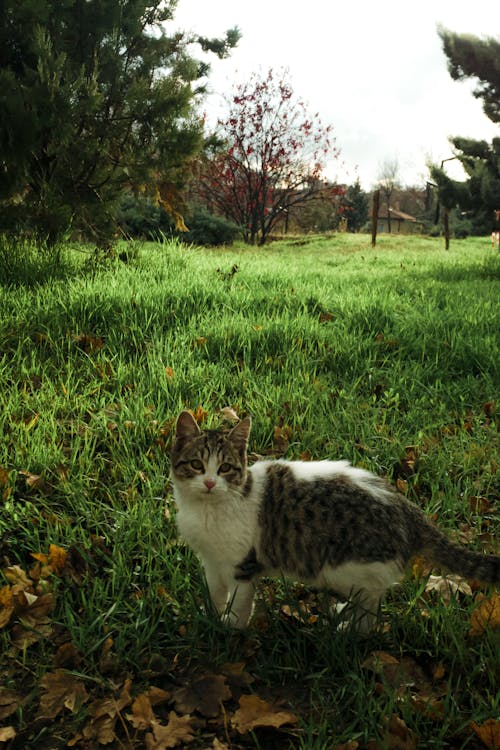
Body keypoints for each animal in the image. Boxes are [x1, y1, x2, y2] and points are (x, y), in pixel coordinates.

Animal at [172, 412, 500, 636]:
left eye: (226, 468)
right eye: (197, 465)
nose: (210, 483)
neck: (207, 511)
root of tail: (407, 509)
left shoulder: (243, 564)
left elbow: (239, 601)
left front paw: (231, 626)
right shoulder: (211, 561)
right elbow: (215, 591)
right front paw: (210, 615)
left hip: (346, 566)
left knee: (373, 598)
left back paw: (352, 627)